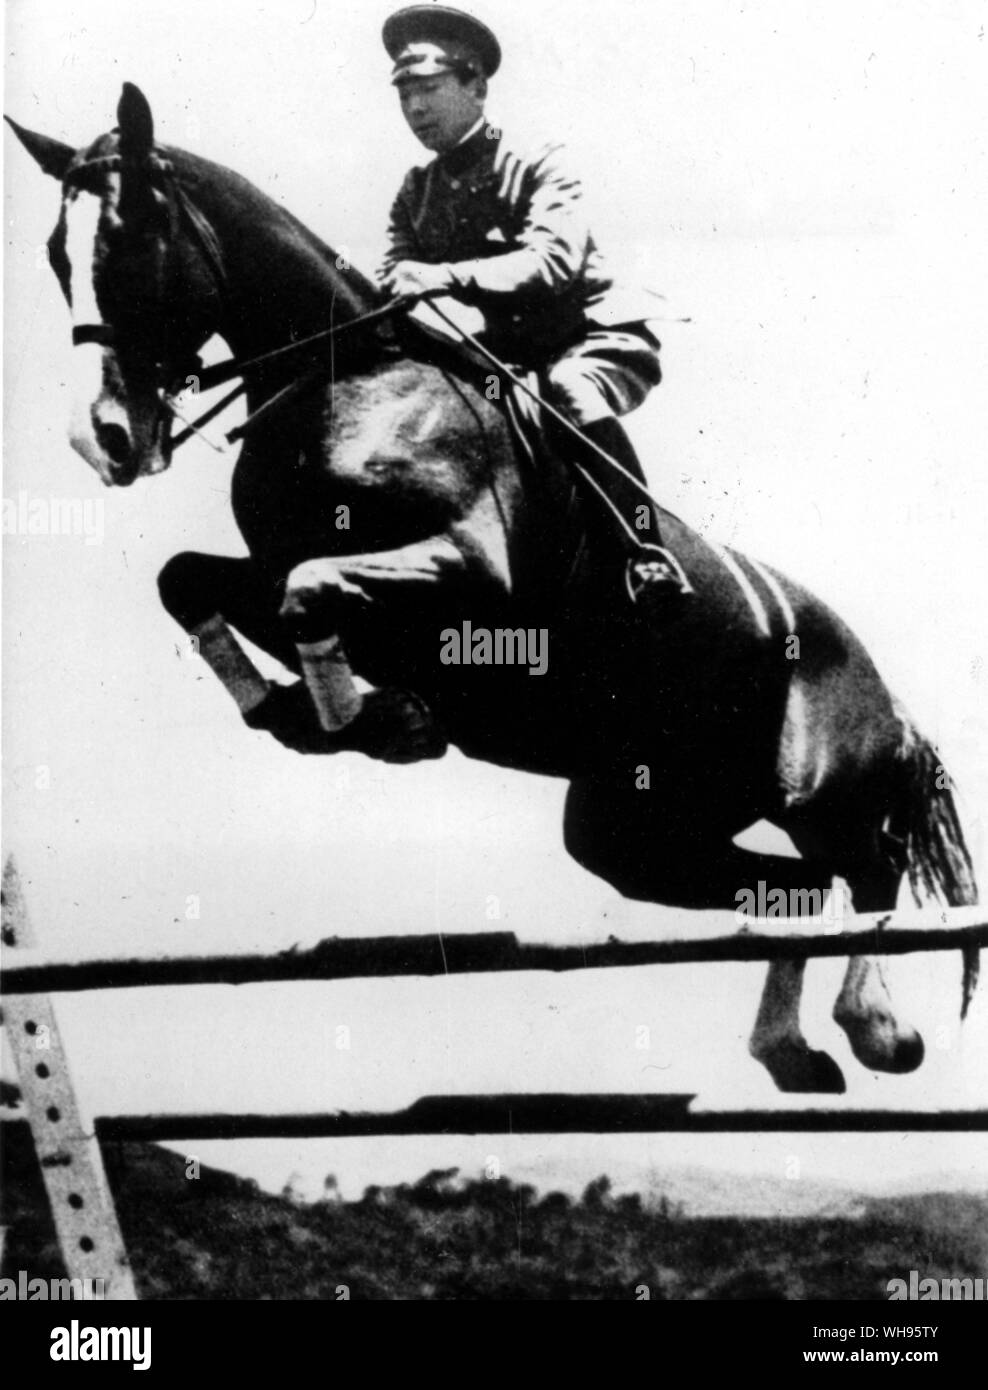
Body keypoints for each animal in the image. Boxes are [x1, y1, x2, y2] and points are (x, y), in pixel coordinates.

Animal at [5, 84, 983, 1095]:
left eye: (128, 240)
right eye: (56, 256)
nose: (103, 439)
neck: (347, 385)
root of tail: (888, 695)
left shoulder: (473, 576)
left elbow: (310, 589)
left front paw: (379, 720)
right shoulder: (277, 572)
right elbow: (197, 580)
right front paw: (314, 713)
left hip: (821, 796)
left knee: (868, 870)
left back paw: (875, 1027)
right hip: (635, 830)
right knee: (791, 888)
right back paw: (790, 1051)